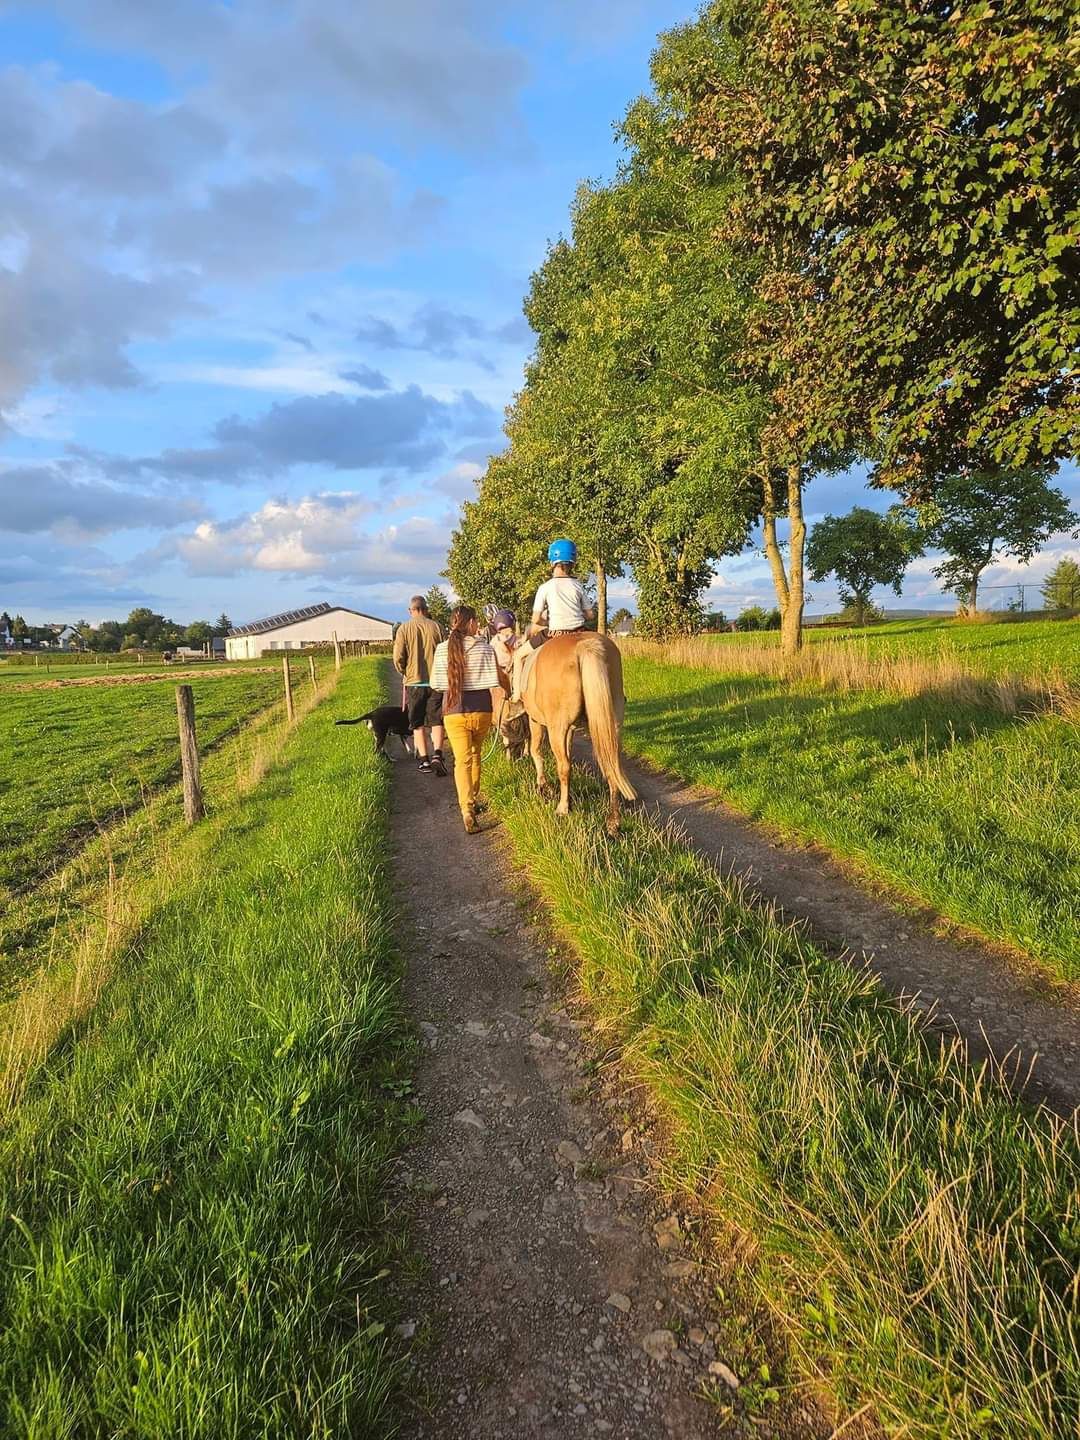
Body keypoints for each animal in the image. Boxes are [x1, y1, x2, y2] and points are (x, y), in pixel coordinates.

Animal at [515, 630, 633, 835]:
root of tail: (585, 646)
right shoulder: (569, 729)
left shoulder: (536, 721)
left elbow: (535, 750)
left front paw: (542, 786)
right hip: (612, 725)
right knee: (612, 765)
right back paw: (613, 823)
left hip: (556, 728)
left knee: (564, 766)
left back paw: (563, 808)